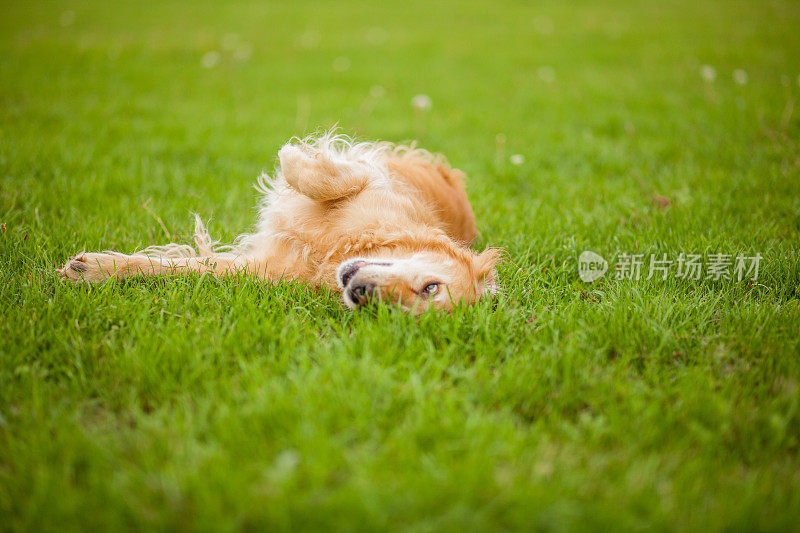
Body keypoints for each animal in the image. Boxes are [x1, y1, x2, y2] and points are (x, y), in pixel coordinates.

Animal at [59, 132, 504, 312]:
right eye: (431, 287)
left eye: (393, 315)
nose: (361, 294)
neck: (335, 253)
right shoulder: (373, 181)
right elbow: (334, 176)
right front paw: (293, 158)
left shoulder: (256, 269)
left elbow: (182, 269)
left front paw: (97, 270)